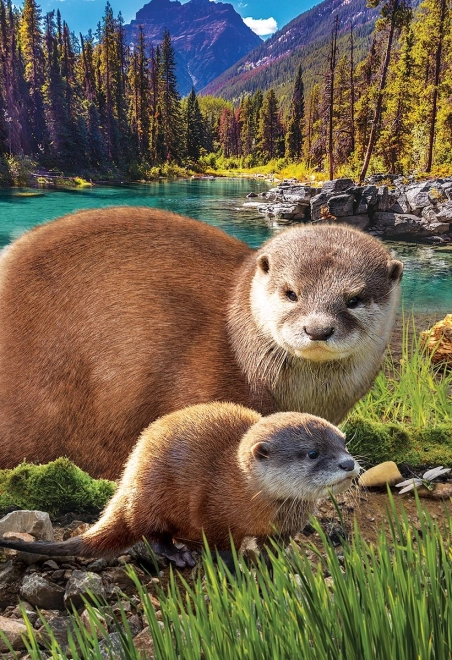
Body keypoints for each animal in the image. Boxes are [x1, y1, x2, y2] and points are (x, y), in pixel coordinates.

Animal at [0, 403, 359, 565]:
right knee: (151, 533)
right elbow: (221, 544)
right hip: (152, 495)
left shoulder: (286, 527)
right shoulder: (212, 510)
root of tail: (129, 480)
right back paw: (178, 554)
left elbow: (276, 548)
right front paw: (233, 565)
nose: (349, 463)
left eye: (343, 442)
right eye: (313, 453)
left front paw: (283, 562)